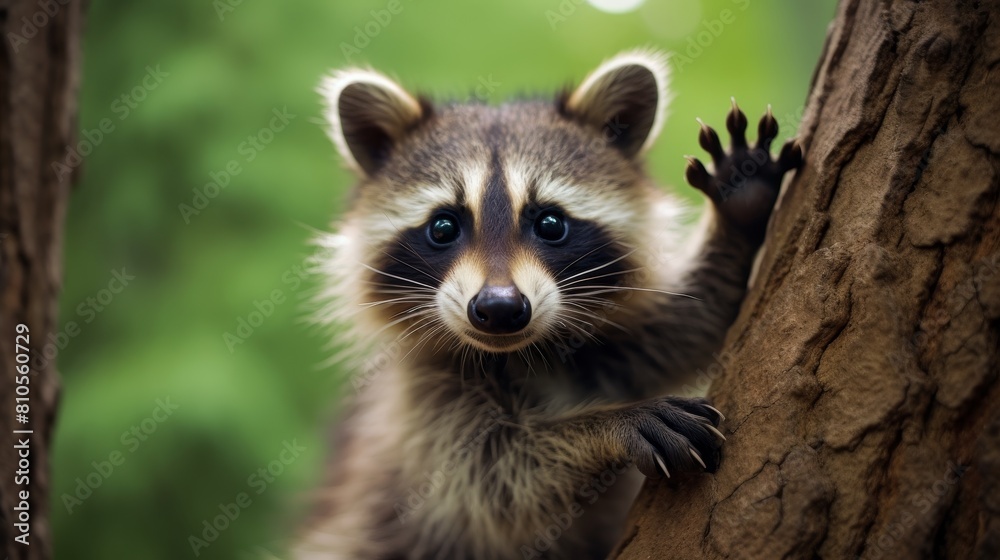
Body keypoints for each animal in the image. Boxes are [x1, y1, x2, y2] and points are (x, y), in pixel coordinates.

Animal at [298, 49, 804, 560]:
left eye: (550, 224)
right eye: (442, 228)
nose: (499, 309)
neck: (516, 354)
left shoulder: (598, 350)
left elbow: (685, 327)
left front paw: (737, 216)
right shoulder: (422, 405)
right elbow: (493, 479)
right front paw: (604, 426)